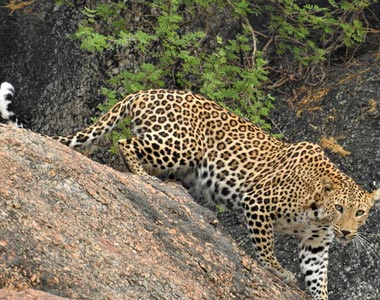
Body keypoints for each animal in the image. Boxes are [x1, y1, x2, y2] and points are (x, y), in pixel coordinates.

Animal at [52, 89, 378, 300]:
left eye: (360, 212)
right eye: (340, 207)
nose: (347, 232)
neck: (319, 214)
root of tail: (145, 91)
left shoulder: (315, 244)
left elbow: (318, 277)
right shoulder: (258, 203)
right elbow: (265, 246)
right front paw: (275, 270)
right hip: (179, 146)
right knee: (125, 142)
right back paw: (143, 176)